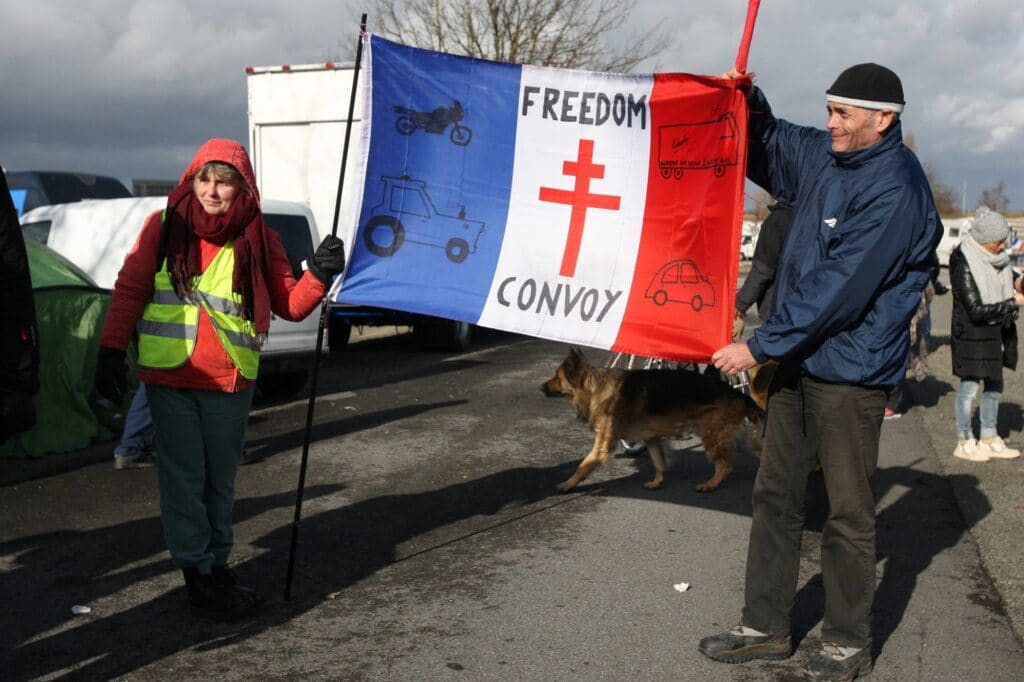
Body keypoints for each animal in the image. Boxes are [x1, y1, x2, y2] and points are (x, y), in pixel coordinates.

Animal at [540, 350, 770, 489]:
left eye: (557, 377)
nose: (540, 387)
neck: (594, 386)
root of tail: (737, 393)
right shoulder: (651, 439)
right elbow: (658, 462)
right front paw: (657, 482)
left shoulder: (603, 444)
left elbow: (584, 464)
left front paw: (568, 484)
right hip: (736, 438)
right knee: (758, 452)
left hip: (712, 436)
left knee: (725, 466)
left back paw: (710, 485)